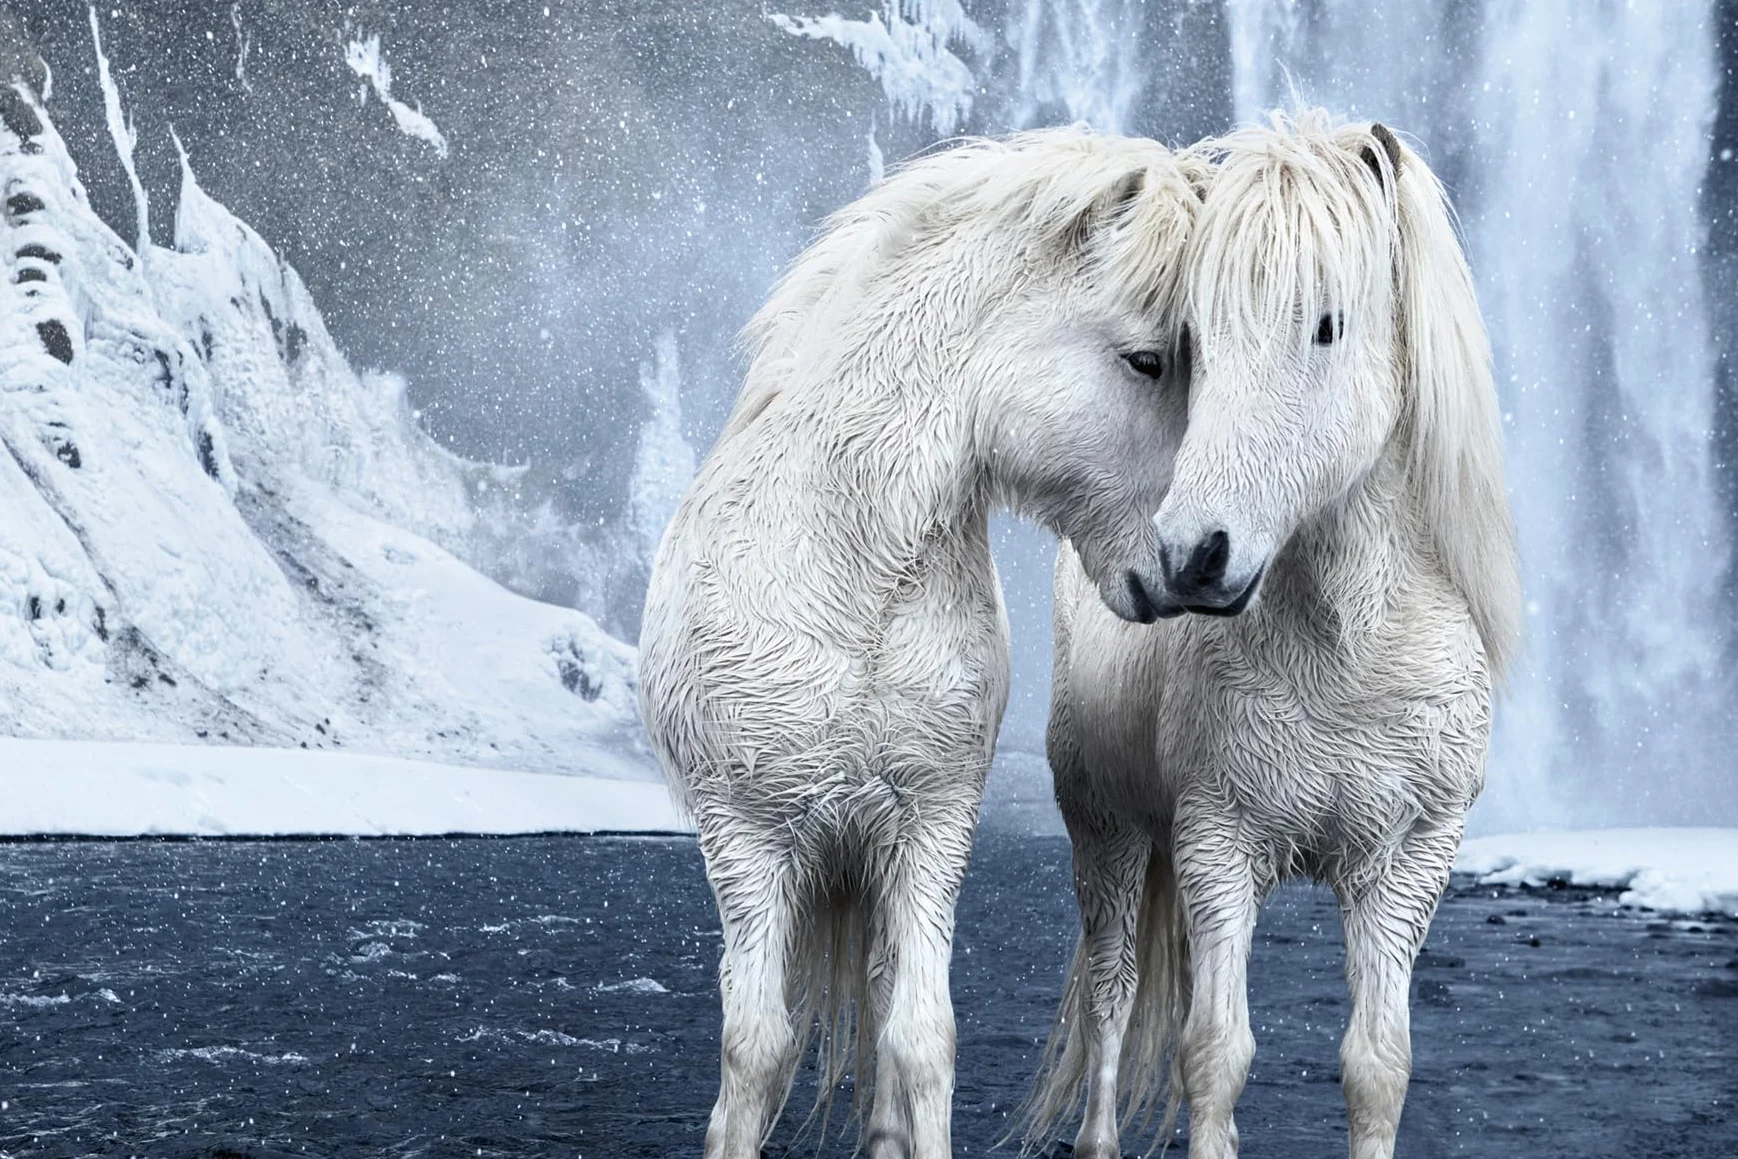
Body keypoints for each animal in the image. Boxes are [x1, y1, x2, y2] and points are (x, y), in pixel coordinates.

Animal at [637, 129, 1210, 1159]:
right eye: (1147, 360)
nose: (1191, 563)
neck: (846, 576)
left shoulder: (930, 830)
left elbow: (919, 1036)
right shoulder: (746, 840)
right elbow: (755, 1048)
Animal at [1022, 111, 1522, 1159]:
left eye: (1326, 324)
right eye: (1196, 338)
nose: (1191, 553)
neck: (1349, 654)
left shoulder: (1406, 866)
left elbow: (1377, 1067)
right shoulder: (1219, 843)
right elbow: (1215, 1054)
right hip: (1109, 834)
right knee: (1112, 995)